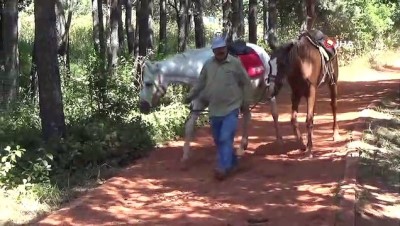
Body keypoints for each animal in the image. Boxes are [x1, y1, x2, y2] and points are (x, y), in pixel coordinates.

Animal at [139, 41, 282, 164]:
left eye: (148, 83)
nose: (143, 107)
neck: (199, 68)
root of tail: (262, 51)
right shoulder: (199, 102)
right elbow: (190, 127)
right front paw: (185, 155)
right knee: (248, 116)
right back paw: (243, 146)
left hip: (267, 89)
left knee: (274, 112)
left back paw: (278, 139)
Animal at [266, 29, 340, 157]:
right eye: (269, 64)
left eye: (282, 64)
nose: (271, 89)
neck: (302, 63)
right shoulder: (296, 93)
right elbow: (294, 120)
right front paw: (302, 144)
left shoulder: (310, 91)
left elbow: (308, 120)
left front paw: (309, 149)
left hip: (332, 83)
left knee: (334, 106)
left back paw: (335, 134)